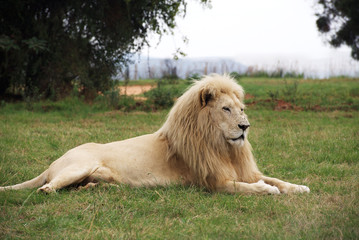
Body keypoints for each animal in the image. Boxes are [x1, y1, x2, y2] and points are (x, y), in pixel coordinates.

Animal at [0, 75, 310, 195]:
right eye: (226, 109)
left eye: (242, 109)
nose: (245, 127)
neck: (222, 147)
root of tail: (53, 163)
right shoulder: (213, 183)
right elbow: (252, 187)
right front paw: (268, 190)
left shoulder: (243, 170)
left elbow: (274, 178)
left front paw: (298, 187)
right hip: (79, 165)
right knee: (47, 187)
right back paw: (51, 189)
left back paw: (95, 188)